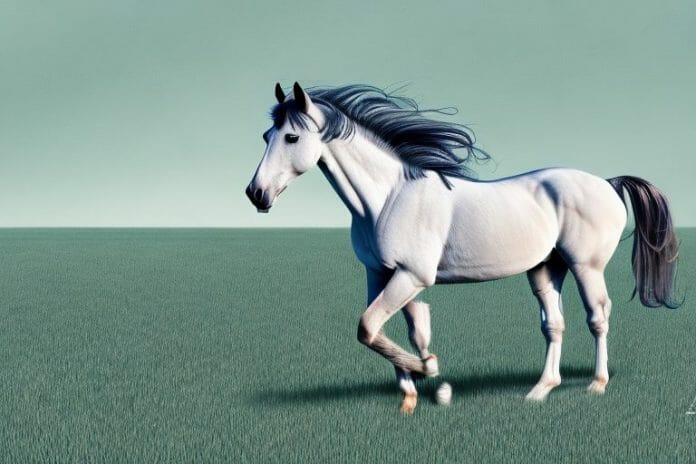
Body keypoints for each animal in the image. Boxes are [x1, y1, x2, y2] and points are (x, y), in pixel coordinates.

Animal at [245, 82, 680, 414]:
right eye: (267, 136)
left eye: (291, 137)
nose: (256, 194)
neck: (388, 198)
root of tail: (608, 182)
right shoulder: (381, 274)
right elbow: (390, 330)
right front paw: (412, 394)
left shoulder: (411, 276)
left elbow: (369, 328)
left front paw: (431, 374)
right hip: (545, 267)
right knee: (553, 324)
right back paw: (540, 390)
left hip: (585, 266)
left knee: (598, 317)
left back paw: (597, 384)